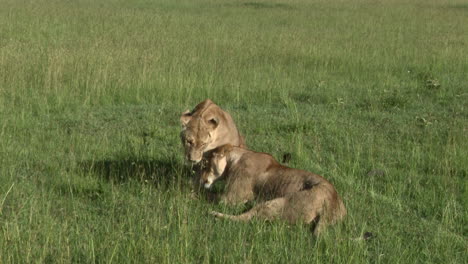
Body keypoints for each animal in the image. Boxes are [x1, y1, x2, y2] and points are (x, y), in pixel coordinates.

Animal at [201, 144, 348, 235]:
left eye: (206, 164)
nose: (202, 179)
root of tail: (333, 199)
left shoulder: (230, 198)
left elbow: (209, 195)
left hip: (277, 203)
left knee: (246, 218)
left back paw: (214, 214)